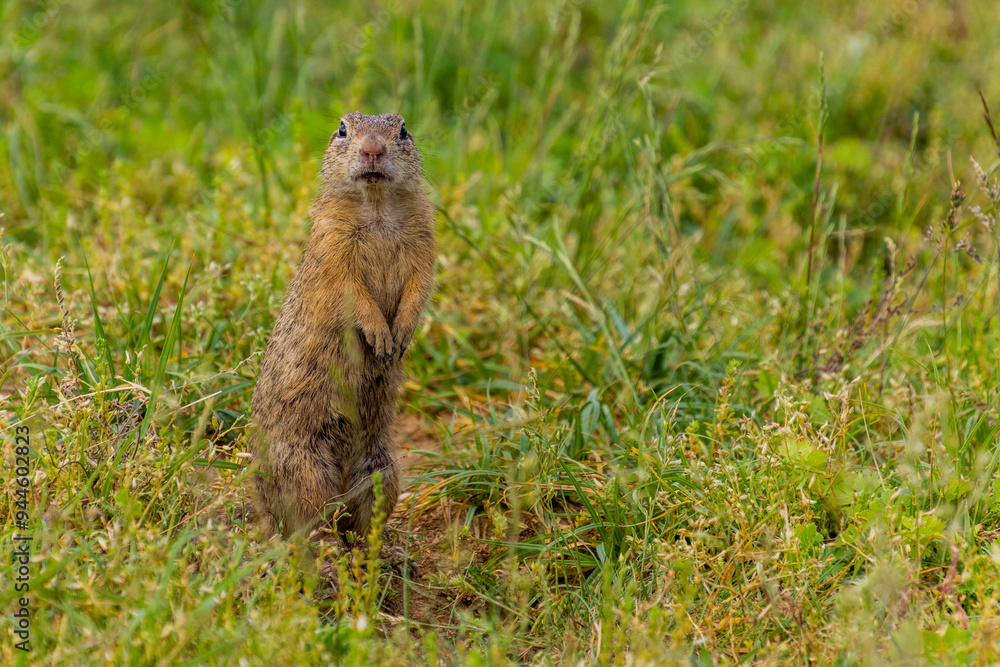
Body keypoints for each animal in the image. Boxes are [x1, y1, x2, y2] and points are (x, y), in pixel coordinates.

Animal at [250, 112, 435, 543]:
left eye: (403, 130)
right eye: (342, 129)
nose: (373, 149)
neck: (377, 209)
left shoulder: (424, 241)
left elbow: (419, 285)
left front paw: (401, 334)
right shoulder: (333, 246)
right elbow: (352, 293)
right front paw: (381, 336)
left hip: (381, 469)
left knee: (359, 519)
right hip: (306, 469)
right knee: (308, 520)